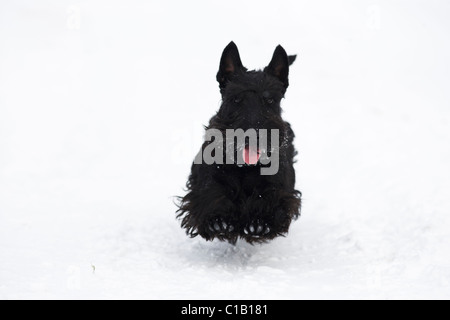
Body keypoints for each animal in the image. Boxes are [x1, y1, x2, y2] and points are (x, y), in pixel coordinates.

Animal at [178, 42, 300, 242]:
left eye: (269, 99)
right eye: (236, 98)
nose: (253, 135)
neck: (245, 166)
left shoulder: (281, 188)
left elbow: (270, 198)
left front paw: (259, 222)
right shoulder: (205, 181)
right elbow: (211, 192)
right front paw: (218, 220)